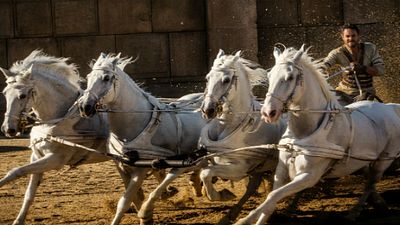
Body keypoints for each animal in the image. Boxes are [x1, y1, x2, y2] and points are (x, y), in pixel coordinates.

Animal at [0, 50, 110, 224]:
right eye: (5, 93)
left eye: (22, 95)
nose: (7, 129)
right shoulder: (36, 156)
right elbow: (29, 193)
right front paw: (19, 220)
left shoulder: (55, 160)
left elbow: (16, 171)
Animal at [77, 53, 208, 225]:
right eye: (88, 77)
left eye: (106, 78)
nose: (84, 106)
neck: (135, 121)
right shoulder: (120, 164)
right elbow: (134, 197)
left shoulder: (141, 167)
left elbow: (125, 201)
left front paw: (145, 214)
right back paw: (195, 184)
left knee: (185, 168)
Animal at [200, 50, 288, 224]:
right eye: (207, 77)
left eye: (226, 80)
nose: (208, 110)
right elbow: (204, 172)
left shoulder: (239, 169)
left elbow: (206, 173)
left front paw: (221, 195)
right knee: (253, 186)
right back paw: (232, 214)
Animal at [236, 44, 400, 224]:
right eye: (270, 75)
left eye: (290, 77)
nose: (267, 112)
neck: (302, 134)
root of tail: (390, 107)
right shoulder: (282, 169)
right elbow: (270, 201)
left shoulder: (309, 176)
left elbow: (273, 195)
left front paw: (243, 220)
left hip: (384, 160)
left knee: (370, 184)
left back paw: (354, 213)